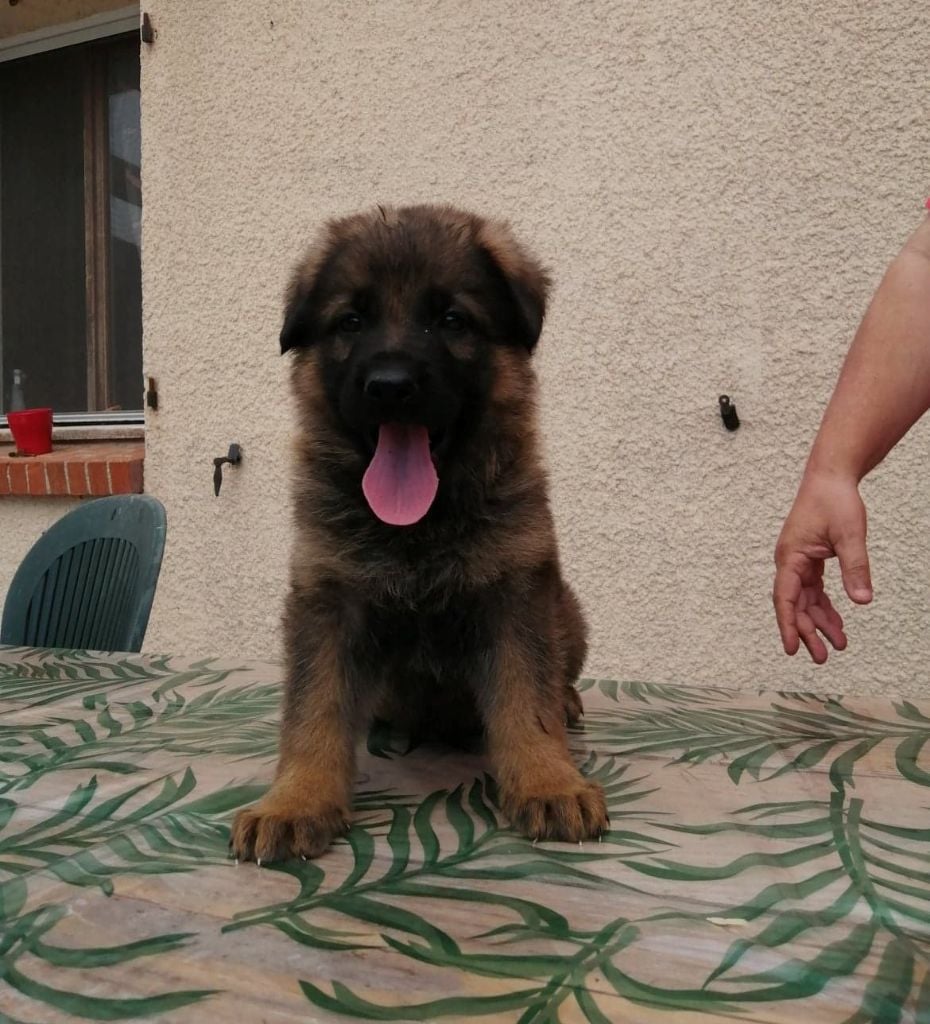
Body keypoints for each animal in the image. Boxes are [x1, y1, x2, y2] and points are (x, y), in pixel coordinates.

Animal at [229, 203, 606, 860]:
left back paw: (567, 701)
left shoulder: (516, 597)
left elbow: (526, 698)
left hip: (568, 611)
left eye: (452, 319)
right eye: (351, 321)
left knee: (556, 679)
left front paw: (548, 782)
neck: (419, 526)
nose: (390, 386)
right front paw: (295, 801)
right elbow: (313, 709)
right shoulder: (327, 603)